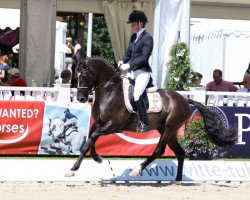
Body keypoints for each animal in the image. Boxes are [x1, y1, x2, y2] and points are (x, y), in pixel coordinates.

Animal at [65, 57, 237, 180]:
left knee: (159, 151)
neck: (109, 91)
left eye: (84, 75)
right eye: (75, 76)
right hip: (168, 130)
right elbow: (90, 139)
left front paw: (74, 168)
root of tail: (184, 99)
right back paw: (177, 180)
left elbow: (92, 138)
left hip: (169, 128)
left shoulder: (113, 125)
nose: (80, 98)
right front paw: (96, 158)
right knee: (180, 153)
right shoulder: (99, 123)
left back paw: (137, 170)